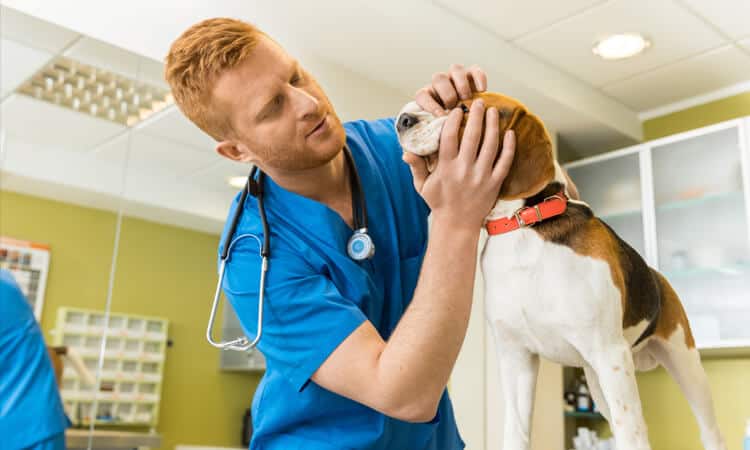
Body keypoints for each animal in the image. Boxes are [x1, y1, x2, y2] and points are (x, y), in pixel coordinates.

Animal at [396, 93, 724, 450]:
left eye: (465, 109)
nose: (402, 119)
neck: (523, 226)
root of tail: (657, 276)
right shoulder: (517, 357)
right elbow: (516, 432)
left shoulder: (610, 352)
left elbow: (631, 432)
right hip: (597, 378)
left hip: (681, 365)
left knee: (703, 430)